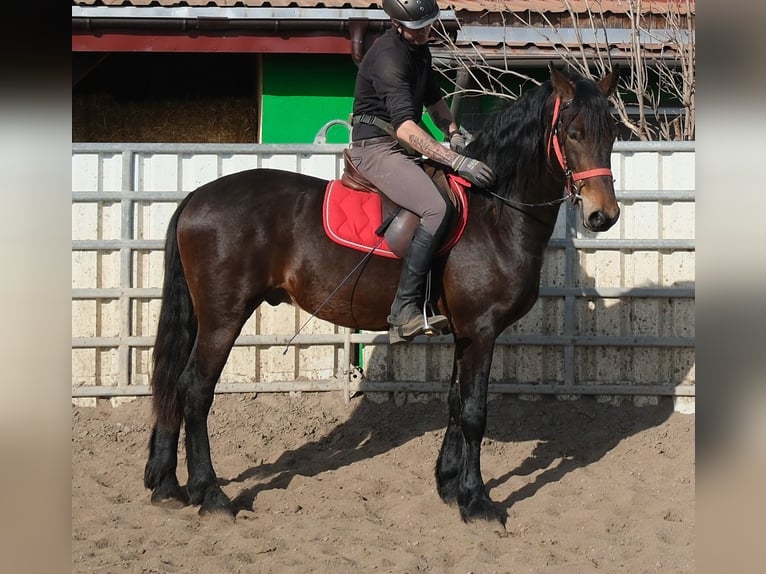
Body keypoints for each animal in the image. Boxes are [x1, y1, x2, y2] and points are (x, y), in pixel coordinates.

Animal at [144, 64, 620, 525]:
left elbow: (454, 403)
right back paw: (211, 494)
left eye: (612, 134)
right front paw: (476, 501)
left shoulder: (464, 334)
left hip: (204, 316)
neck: (494, 210)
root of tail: (197, 196)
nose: (604, 216)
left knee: (172, 383)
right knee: (194, 389)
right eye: (574, 133)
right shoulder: (481, 332)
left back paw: (166, 486)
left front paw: (448, 483)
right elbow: (473, 413)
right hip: (223, 318)